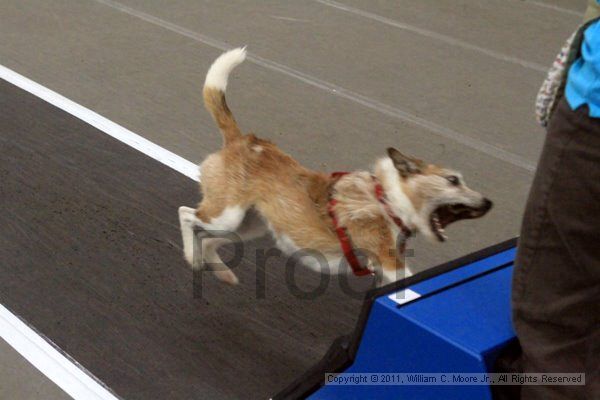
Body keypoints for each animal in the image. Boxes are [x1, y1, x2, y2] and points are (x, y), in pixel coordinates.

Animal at [178, 47, 492, 288]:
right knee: (187, 215)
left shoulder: (384, 268)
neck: (387, 199)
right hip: (226, 216)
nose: (488, 203)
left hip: (247, 225)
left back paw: (221, 272)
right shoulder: (390, 262)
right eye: (453, 180)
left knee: (208, 240)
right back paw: (192, 258)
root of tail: (243, 140)